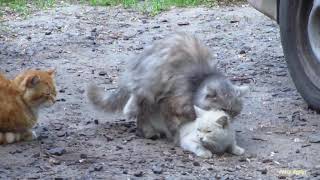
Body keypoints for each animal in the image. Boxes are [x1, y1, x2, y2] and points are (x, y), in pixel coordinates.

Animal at [89, 32, 249, 139]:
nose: (228, 119)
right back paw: (144, 127)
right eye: (223, 109)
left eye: (234, 112)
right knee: (139, 107)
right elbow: (172, 122)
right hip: (150, 85)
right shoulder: (170, 101)